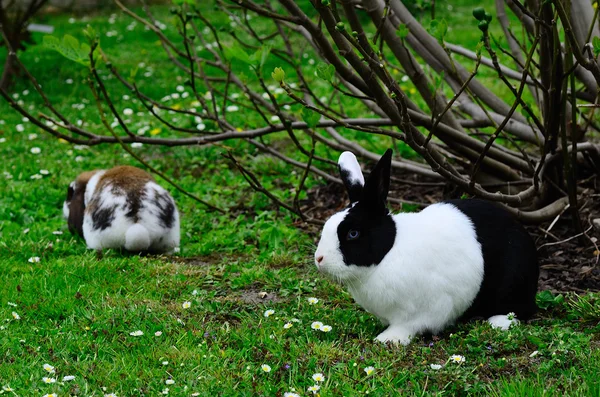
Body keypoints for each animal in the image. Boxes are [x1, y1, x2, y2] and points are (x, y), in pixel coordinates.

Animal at [314, 148, 540, 344]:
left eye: (353, 234)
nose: (319, 259)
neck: (388, 253)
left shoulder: (427, 309)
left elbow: (408, 326)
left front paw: (388, 339)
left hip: (514, 282)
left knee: (518, 310)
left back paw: (498, 322)